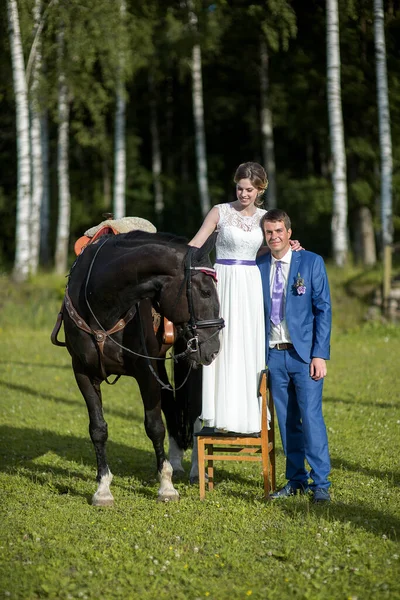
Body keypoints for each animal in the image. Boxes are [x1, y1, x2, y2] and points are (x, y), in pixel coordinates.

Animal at [53, 232, 223, 504]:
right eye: (206, 291)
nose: (214, 348)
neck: (101, 302)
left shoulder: (146, 372)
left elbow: (154, 427)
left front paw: (166, 486)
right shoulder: (82, 373)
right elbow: (98, 429)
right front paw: (103, 488)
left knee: (195, 412)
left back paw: (195, 470)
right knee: (171, 405)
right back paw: (176, 462)